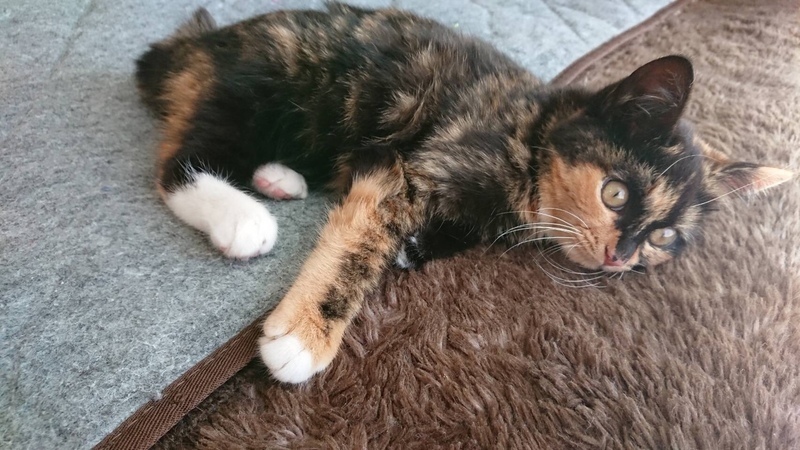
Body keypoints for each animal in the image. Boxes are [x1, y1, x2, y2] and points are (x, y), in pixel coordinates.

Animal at [135, 3, 793, 383]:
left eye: (663, 236)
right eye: (614, 194)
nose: (621, 256)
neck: (529, 134)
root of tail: (205, 43)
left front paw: (421, 245)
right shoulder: (416, 162)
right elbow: (364, 242)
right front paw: (305, 338)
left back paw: (280, 178)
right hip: (268, 83)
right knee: (178, 162)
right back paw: (241, 216)